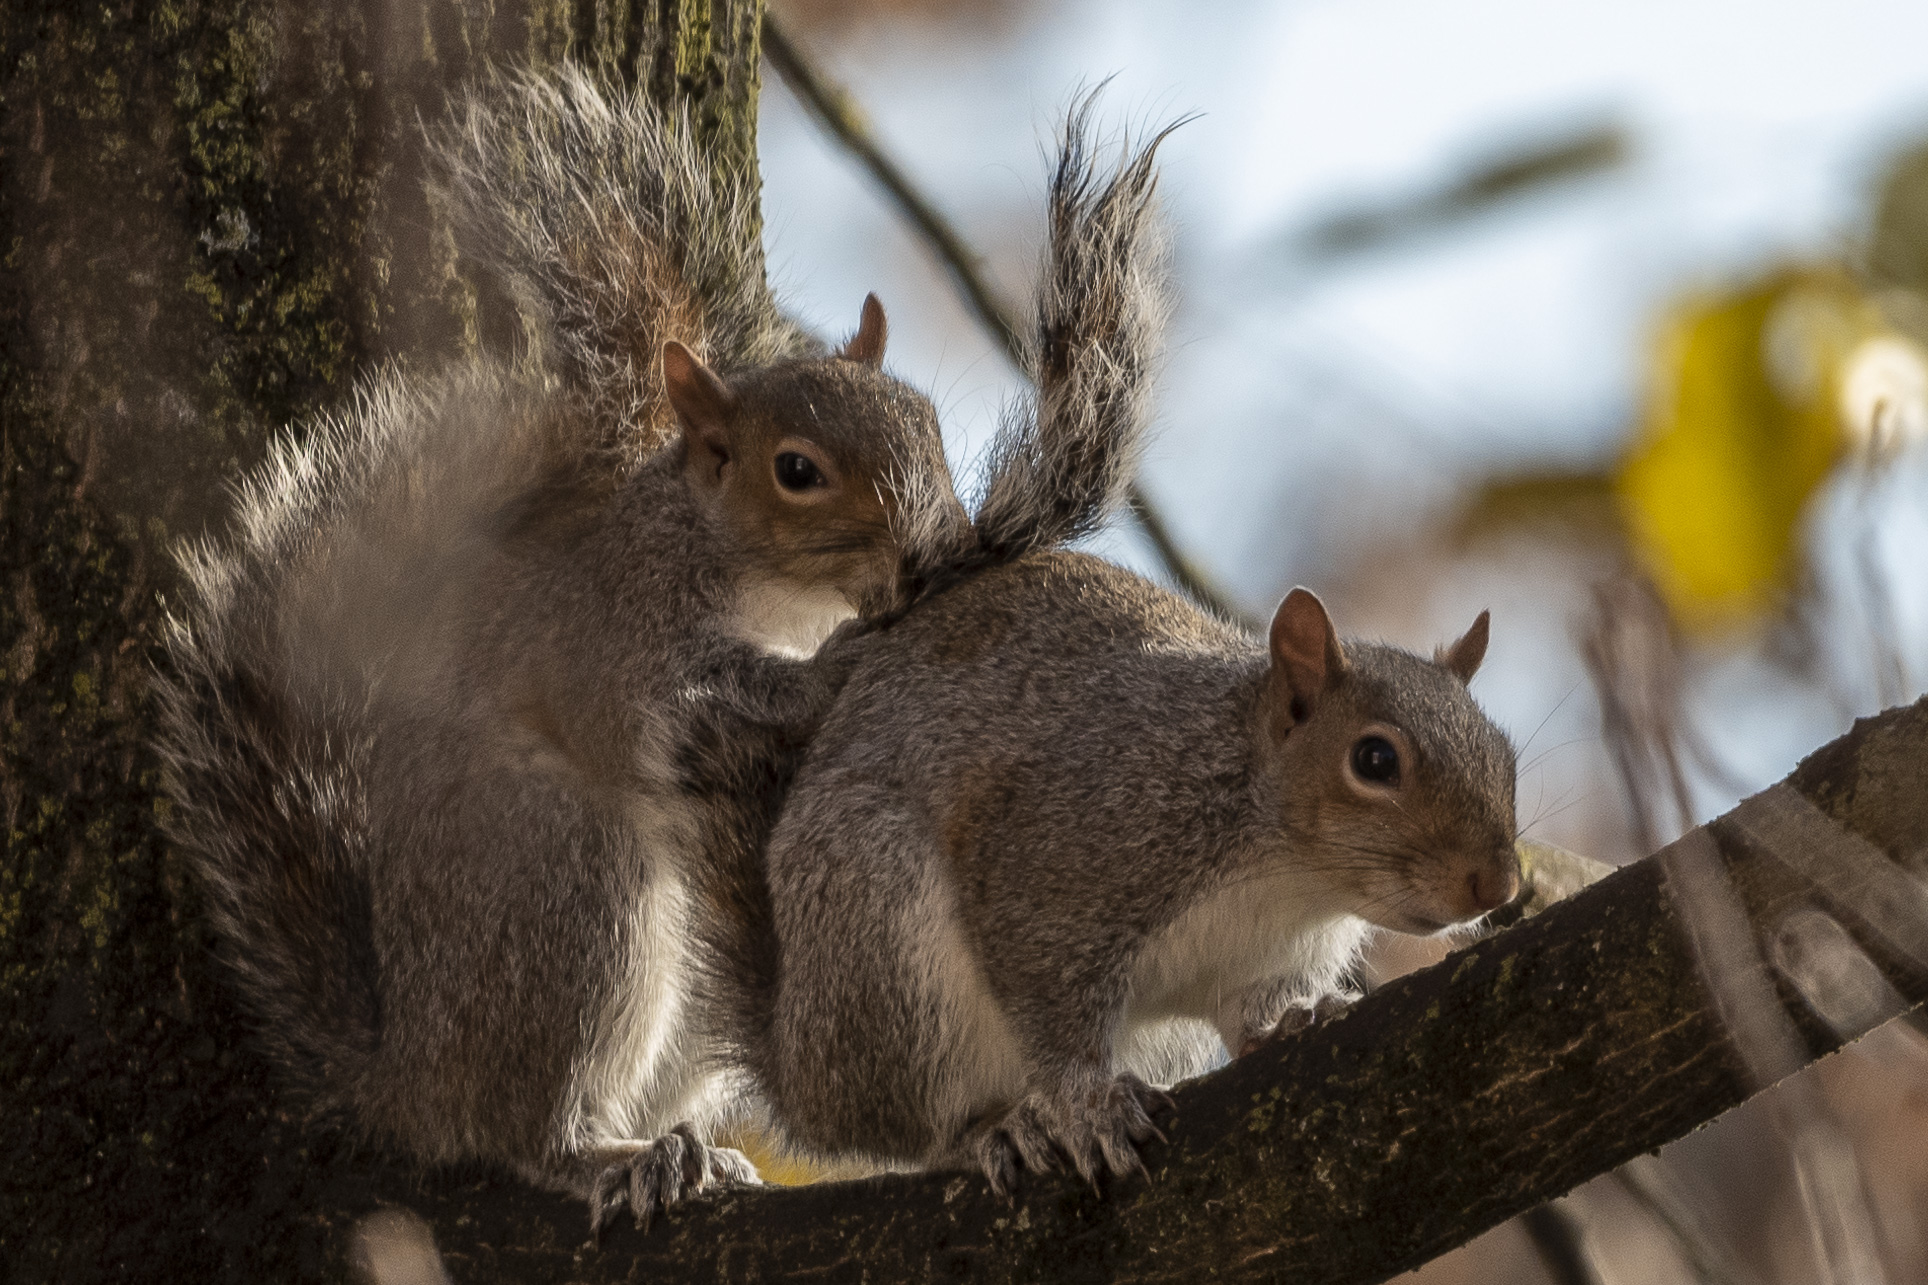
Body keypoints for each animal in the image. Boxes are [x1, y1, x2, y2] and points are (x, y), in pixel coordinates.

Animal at [153, 71, 1176, 1233]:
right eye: (795, 469)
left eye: (922, 417)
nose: (935, 549)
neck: (767, 584)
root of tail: (406, 1078)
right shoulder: (616, 635)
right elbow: (681, 693)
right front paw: (836, 668)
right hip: (573, 894)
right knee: (522, 1126)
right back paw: (607, 1155)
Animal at [750, 558, 1520, 1192]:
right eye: (1375, 760)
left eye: (1505, 754)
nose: (1498, 886)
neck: (1289, 879)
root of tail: (793, 1076)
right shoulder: (1062, 858)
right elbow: (1050, 997)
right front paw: (1090, 1108)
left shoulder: (1264, 960)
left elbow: (1250, 1011)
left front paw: (1295, 1019)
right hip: (882, 940)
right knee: (907, 1125)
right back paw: (985, 1132)